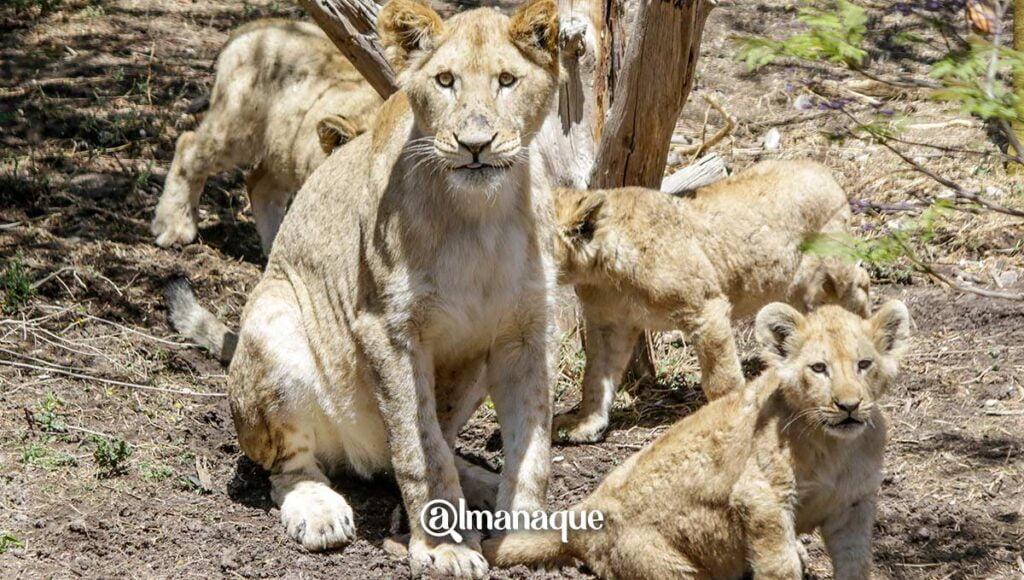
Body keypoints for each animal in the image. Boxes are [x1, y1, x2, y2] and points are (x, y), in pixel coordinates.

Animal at [151, 19, 382, 254]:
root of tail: (258, 24)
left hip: (284, 150)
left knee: (260, 184)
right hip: (238, 129)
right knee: (188, 146)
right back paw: (174, 227)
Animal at [485, 300, 911, 579]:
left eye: (864, 364)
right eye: (819, 368)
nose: (849, 405)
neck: (838, 447)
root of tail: (583, 514)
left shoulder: (853, 505)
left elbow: (856, 562)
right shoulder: (759, 498)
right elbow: (780, 564)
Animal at [552, 160, 872, 443]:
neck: (603, 272)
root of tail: (822, 170)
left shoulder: (705, 308)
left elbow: (721, 378)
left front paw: (727, 416)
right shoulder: (608, 323)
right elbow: (595, 376)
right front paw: (584, 424)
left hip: (831, 270)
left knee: (861, 281)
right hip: (792, 284)